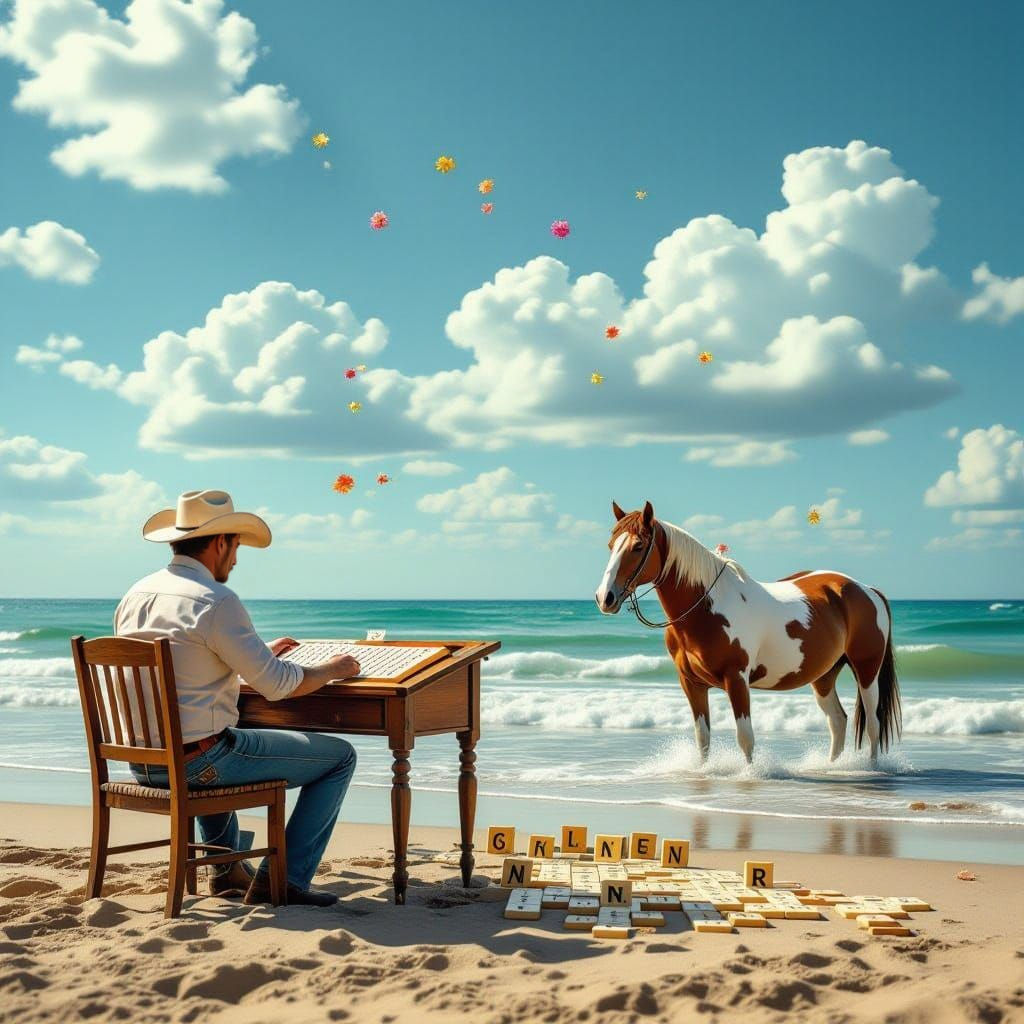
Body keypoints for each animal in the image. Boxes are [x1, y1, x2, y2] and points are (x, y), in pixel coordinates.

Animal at [594, 500, 901, 765]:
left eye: (638, 546)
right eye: (610, 545)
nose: (604, 597)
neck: (707, 608)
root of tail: (867, 589)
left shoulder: (736, 679)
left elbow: (745, 738)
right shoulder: (691, 684)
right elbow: (702, 739)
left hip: (866, 669)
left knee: (873, 724)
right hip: (824, 675)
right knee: (837, 721)